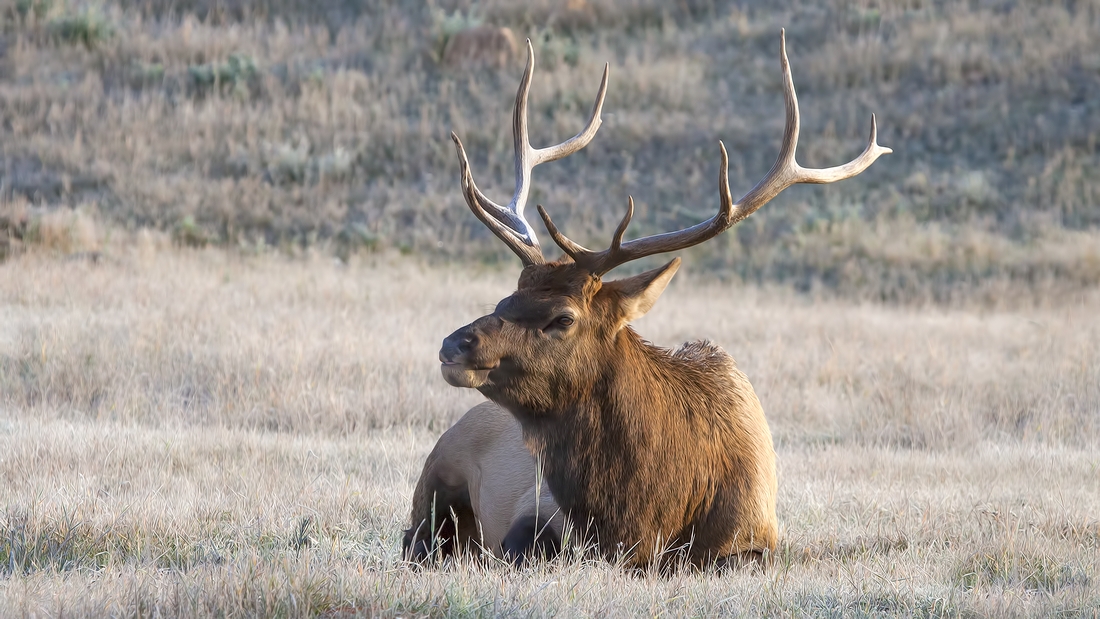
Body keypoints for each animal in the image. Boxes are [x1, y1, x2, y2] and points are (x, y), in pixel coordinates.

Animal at [431, 31, 893, 567]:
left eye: (563, 318)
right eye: (506, 299)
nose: (453, 344)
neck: (644, 517)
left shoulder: (756, 538)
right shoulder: (539, 513)